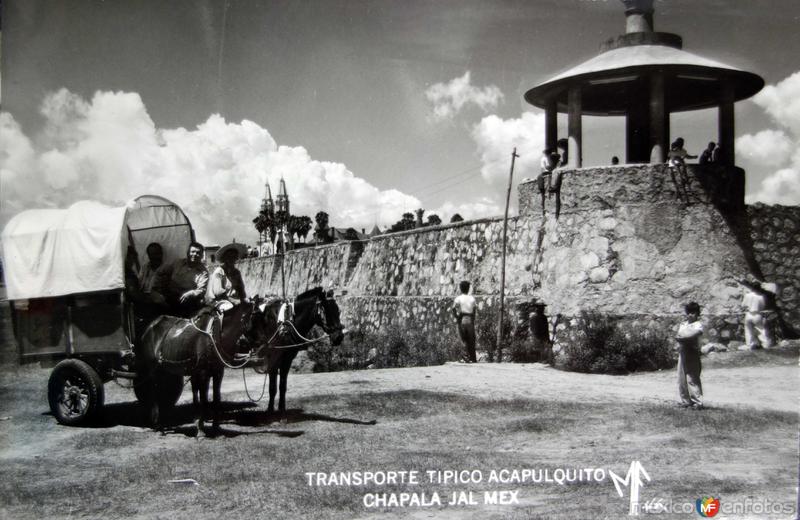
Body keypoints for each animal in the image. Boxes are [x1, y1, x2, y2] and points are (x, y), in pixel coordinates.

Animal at [136, 300, 258, 434]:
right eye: (257, 317)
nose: (245, 344)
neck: (216, 333)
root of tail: (150, 326)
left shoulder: (218, 372)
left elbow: (216, 398)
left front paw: (215, 427)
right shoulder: (203, 373)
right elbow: (204, 399)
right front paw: (200, 430)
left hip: (164, 370)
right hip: (153, 369)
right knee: (153, 391)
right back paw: (156, 423)